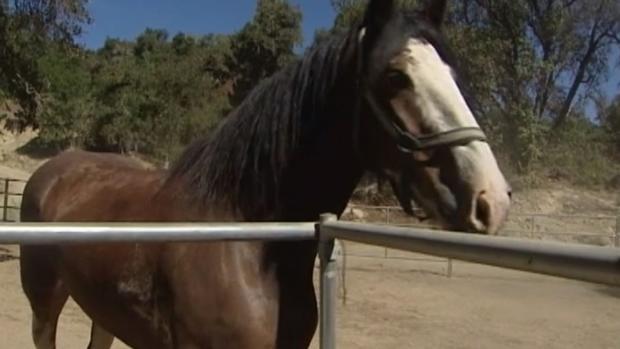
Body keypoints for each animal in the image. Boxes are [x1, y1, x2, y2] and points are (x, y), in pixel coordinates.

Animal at [20, 1, 512, 346]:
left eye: (453, 73)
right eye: (396, 76)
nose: (490, 199)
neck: (245, 242)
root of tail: (53, 169)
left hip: (102, 311)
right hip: (43, 302)